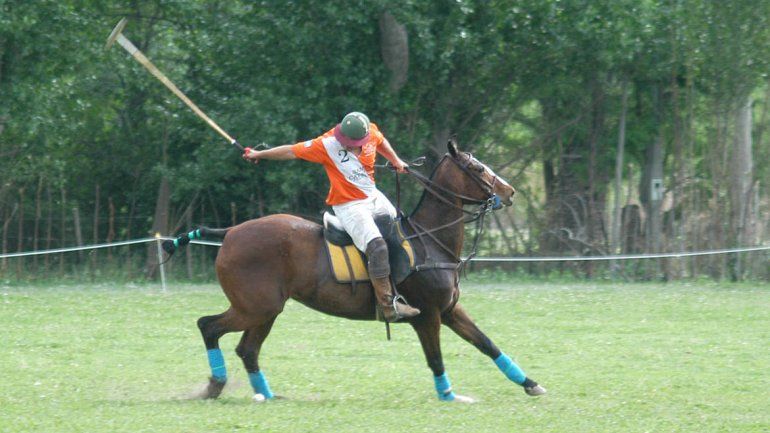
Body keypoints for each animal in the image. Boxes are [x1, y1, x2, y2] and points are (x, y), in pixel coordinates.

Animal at [166, 139, 546, 403]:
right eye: (477, 168)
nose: (509, 191)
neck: (430, 238)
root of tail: (230, 232)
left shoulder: (450, 310)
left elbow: (487, 343)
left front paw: (531, 384)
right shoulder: (428, 315)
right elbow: (436, 359)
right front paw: (449, 395)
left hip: (266, 309)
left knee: (247, 349)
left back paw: (267, 395)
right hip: (255, 306)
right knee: (209, 326)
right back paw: (216, 384)